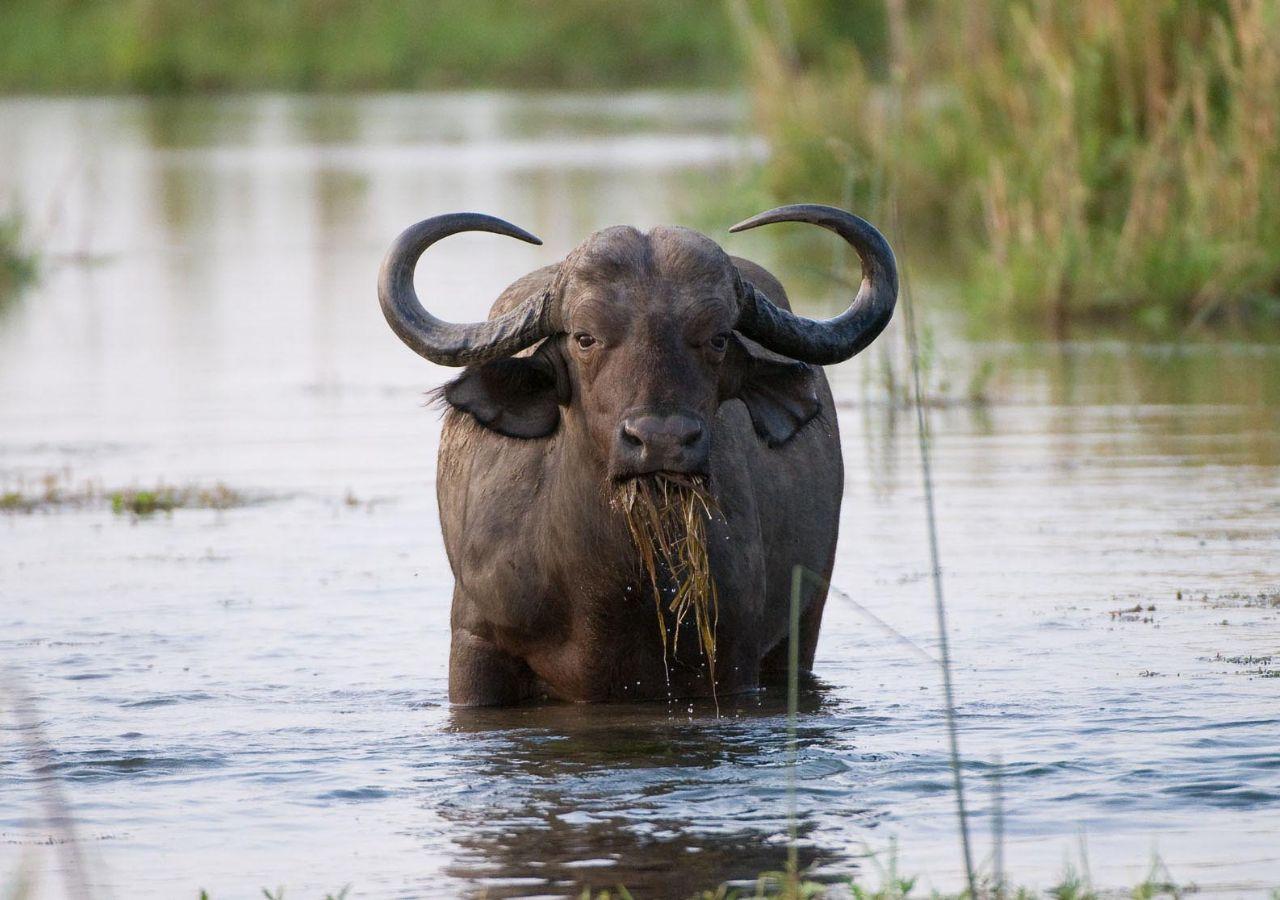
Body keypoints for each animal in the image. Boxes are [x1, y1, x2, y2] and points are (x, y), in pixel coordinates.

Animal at [378, 205, 897, 706]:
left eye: (718, 337)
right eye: (584, 337)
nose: (661, 440)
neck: (609, 589)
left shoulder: (734, 659)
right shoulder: (476, 644)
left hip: (804, 624)